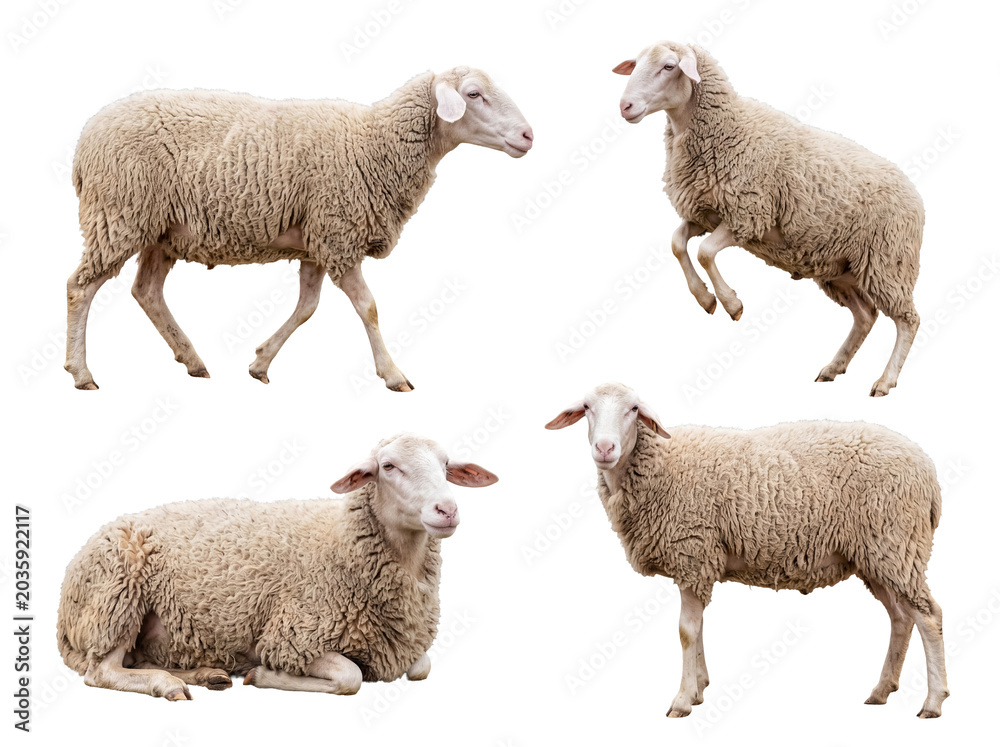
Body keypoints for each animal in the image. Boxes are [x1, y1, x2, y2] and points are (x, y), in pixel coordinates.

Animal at [56, 433, 498, 700]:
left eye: (446, 466)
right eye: (388, 467)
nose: (447, 509)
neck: (341, 542)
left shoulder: (403, 647)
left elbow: (422, 667)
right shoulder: (293, 637)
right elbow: (350, 677)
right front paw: (263, 675)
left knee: (133, 662)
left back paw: (207, 675)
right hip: (116, 599)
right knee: (102, 671)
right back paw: (168, 685)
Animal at [64, 67, 533, 391]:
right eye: (473, 94)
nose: (529, 135)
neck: (375, 142)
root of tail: (84, 140)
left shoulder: (318, 242)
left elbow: (307, 308)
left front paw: (260, 364)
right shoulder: (338, 234)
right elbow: (368, 307)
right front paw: (393, 373)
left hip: (161, 230)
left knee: (146, 291)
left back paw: (192, 359)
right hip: (119, 214)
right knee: (80, 288)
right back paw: (82, 372)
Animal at [546, 382, 948, 718]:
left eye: (633, 409)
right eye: (587, 407)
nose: (605, 448)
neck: (661, 465)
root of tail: (928, 470)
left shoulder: (693, 553)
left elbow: (686, 631)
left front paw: (682, 701)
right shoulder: (701, 562)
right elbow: (698, 628)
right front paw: (699, 689)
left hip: (895, 543)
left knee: (929, 617)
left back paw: (932, 702)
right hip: (877, 555)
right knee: (901, 618)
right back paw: (881, 690)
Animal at [613, 42, 924, 396]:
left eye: (668, 66)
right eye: (637, 63)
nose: (625, 106)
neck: (725, 128)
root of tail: (916, 195)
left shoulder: (748, 215)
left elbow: (705, 252)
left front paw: (731, 304)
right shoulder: (705, 213)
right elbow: (678, 244)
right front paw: (705, 299)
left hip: (888, 262)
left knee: (907, 320)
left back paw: (885, 381)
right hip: (841, 268)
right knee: (865, 316)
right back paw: (833, 368)